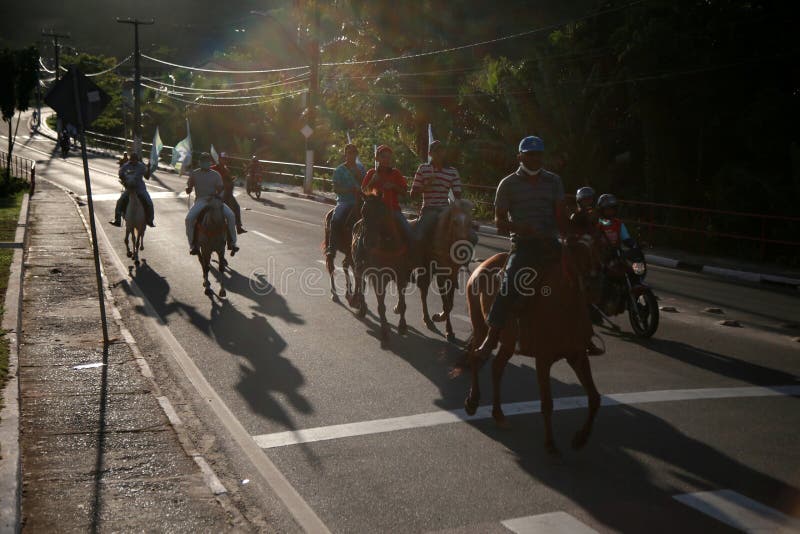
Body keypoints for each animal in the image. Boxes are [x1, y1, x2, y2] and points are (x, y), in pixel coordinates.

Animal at [348, 197, 412, 348]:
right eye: (363, 212)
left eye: (381, 213)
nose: (367, 242)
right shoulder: (379, 278)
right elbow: (381, 307)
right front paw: (384, 333)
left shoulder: (401, 276)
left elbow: (402, 303)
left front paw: (402, 326)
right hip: (359, 266)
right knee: (360, 282)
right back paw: (360, 306)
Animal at [412, 201, 476, 344]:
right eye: (455, 222)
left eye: (470, 222)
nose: (463, 251)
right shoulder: (441, 276)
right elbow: (446, 304)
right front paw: (441, 321)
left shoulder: (453, 275)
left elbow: (450, 304)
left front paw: (448, 329)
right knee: (421, 292)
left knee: (423, 291)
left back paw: (427, 319)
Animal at [462, 238, 600, 456]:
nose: (596, 291)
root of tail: (483, 265)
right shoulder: (543, 359)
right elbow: (547, 403)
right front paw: (550, 444)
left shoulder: (577, 355)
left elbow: (594, 398)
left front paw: (580, 439)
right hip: (480, 326)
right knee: (476, 356)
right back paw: (473, 402)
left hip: (508, 343)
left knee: (496, 367)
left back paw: (498, 414)